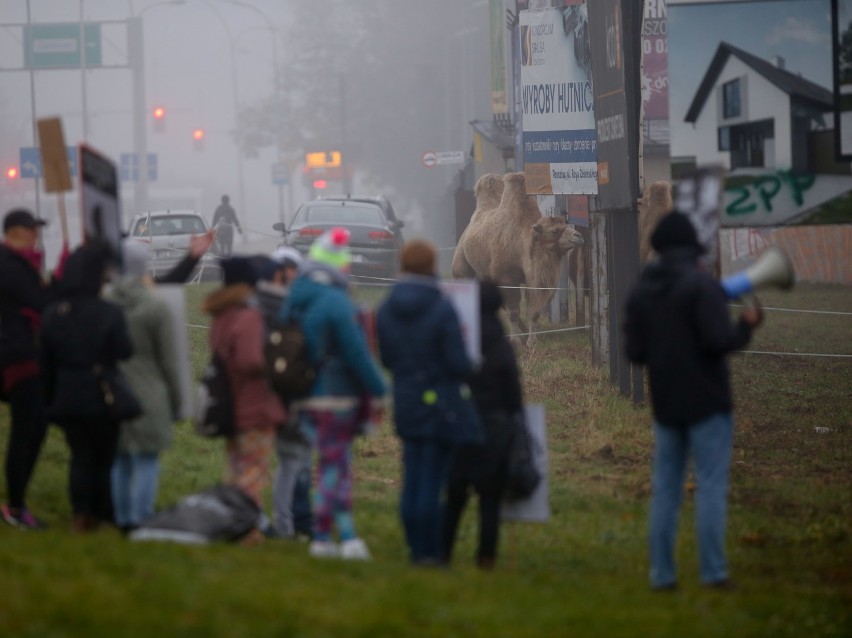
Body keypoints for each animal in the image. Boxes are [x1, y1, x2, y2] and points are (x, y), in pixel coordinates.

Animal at [452, 172, 584, 350]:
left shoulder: (531, 278)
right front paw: (515, 341)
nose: (578, 236)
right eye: (555, 231)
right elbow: (514, 311)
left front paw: (533, 341)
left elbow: (534, 311)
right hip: (462, 265)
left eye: (565, 223)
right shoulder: (507, 278)